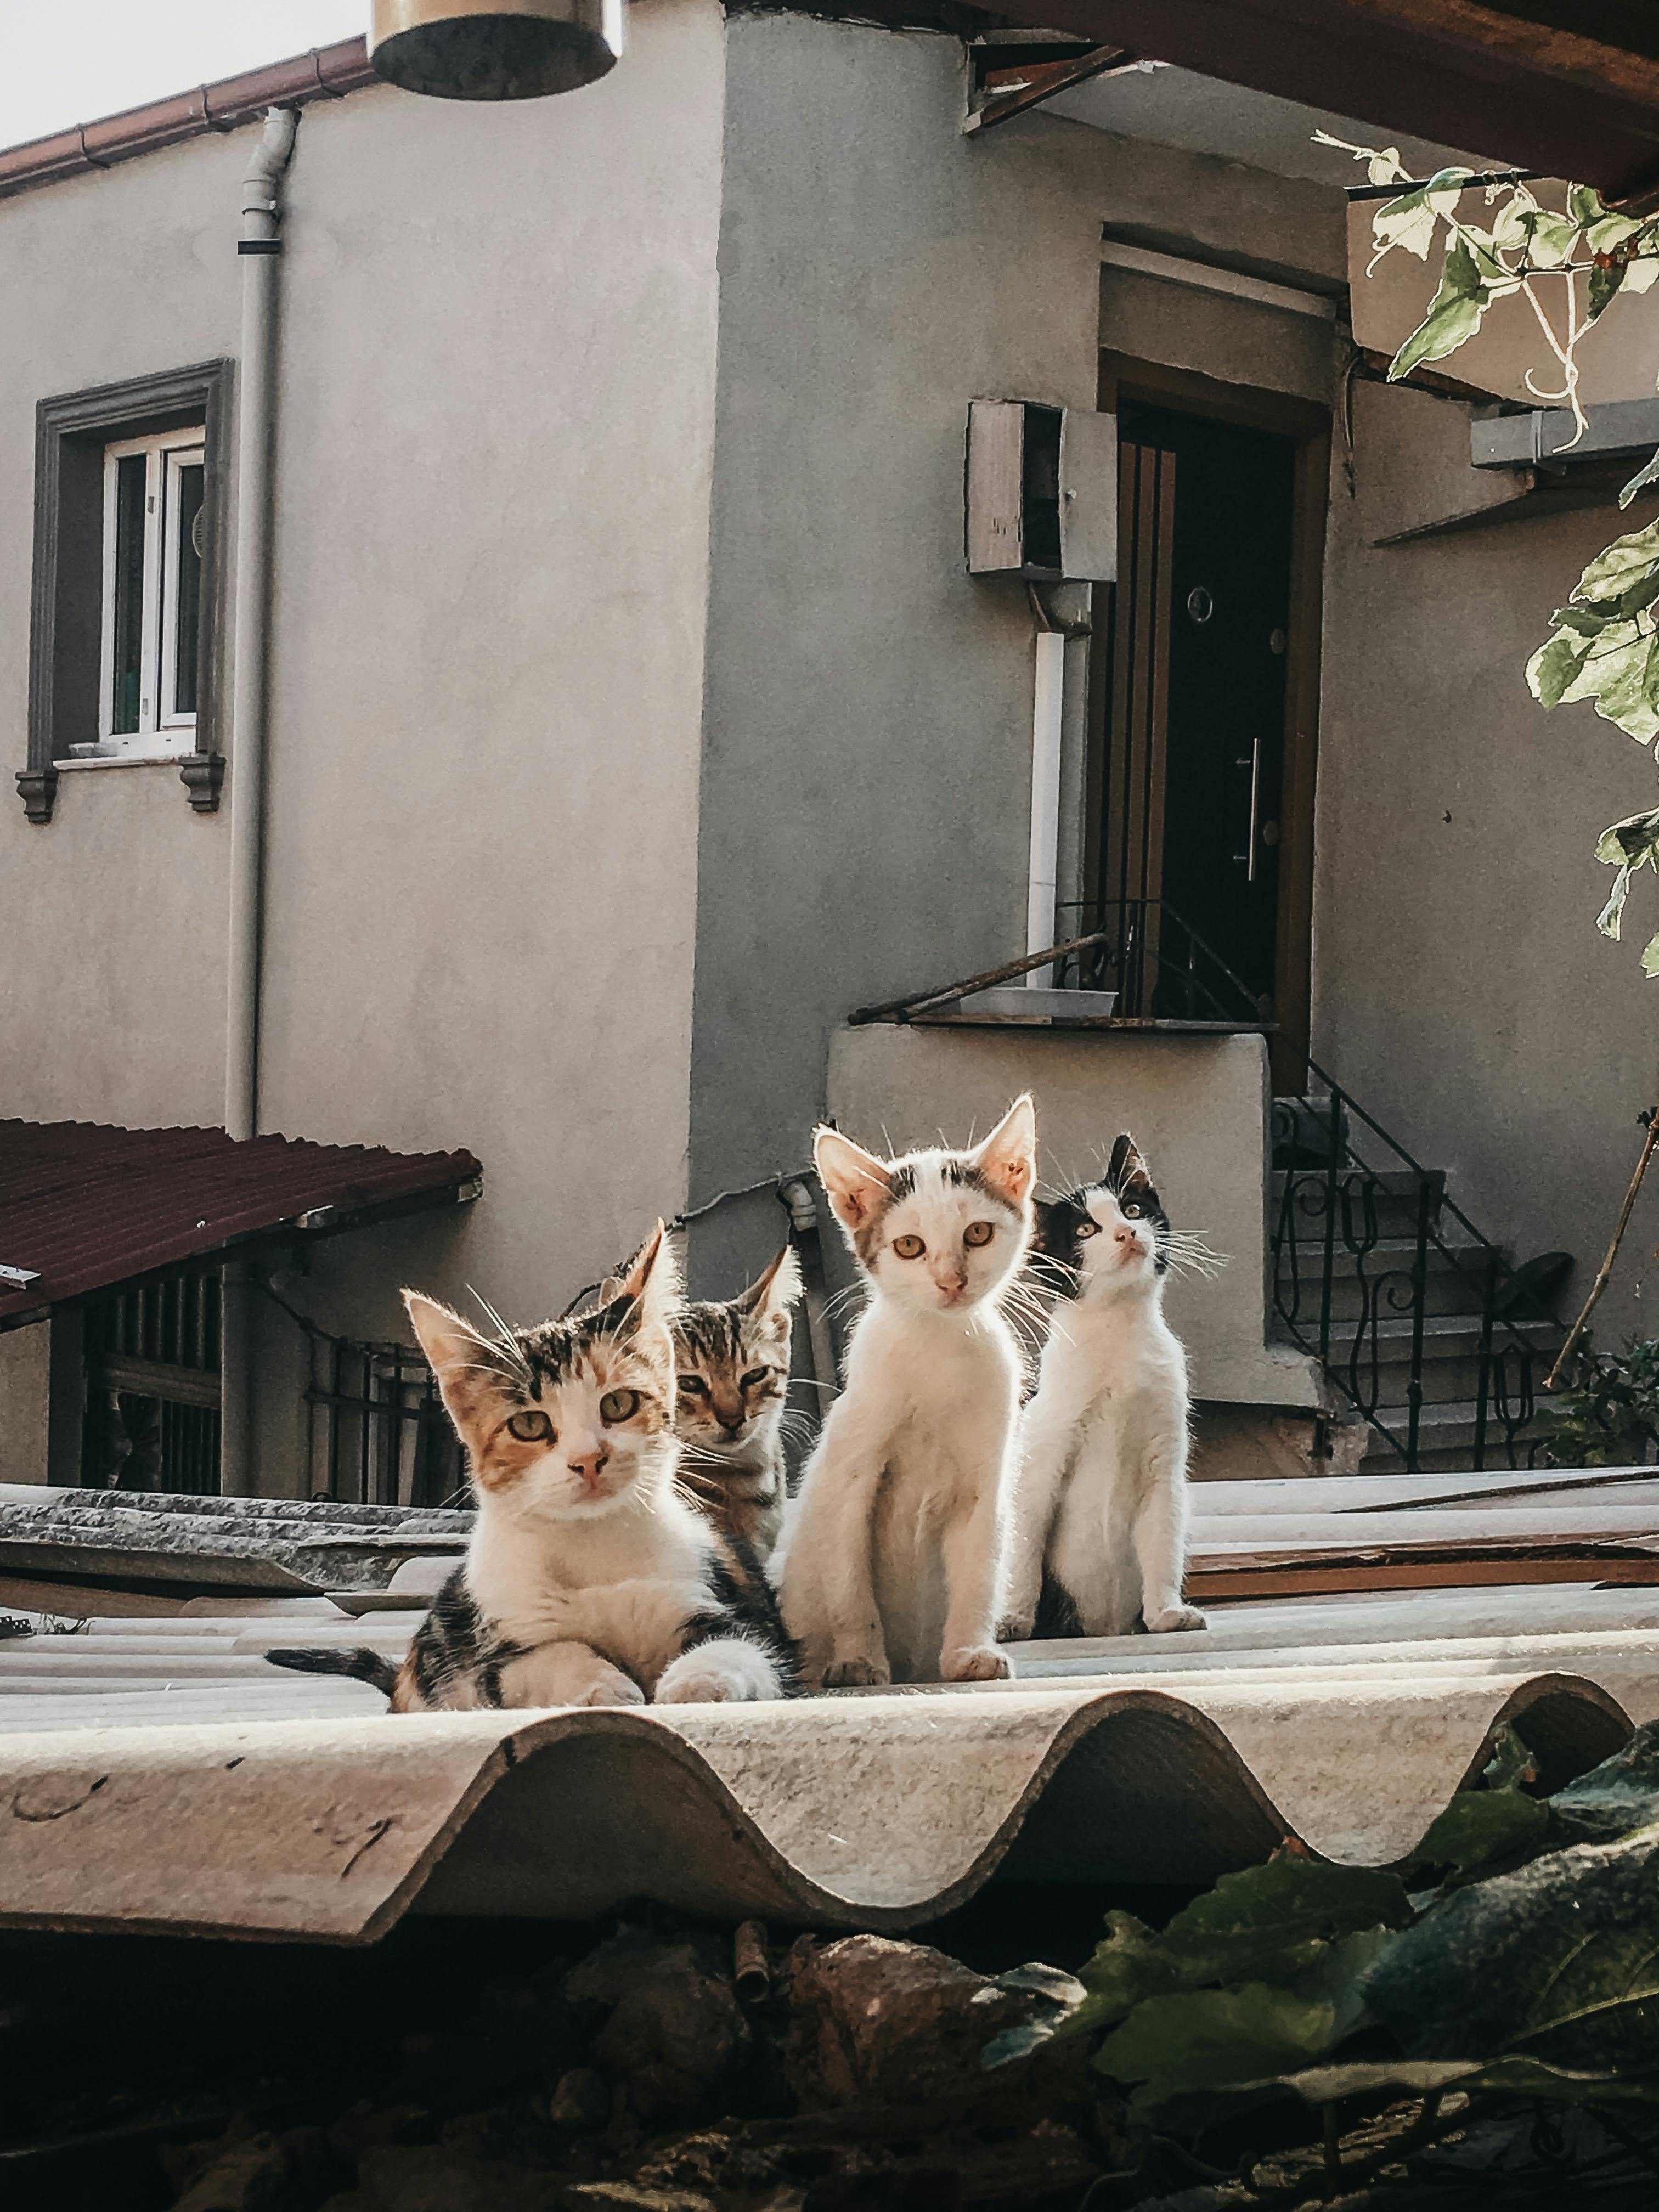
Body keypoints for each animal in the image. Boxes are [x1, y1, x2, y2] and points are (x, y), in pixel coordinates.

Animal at [778, 1101, 1040, 1690]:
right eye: (909, 1247)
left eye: (978, 1233)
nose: (951, 1281)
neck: (938, 1348)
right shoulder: (851, 1477)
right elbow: (849, 1584)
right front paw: (858, 1660)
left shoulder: (984, 1484)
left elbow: (978, 1572)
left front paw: (969, 1652)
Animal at [995, 1141, 1212, 1645]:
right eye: (1085, 1229)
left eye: (1132, 1209)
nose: (1126, 1233)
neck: (1119, 1334)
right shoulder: (1039, 1456)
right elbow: (1024, 1544)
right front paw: (1014, 1620)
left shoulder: (1164, 1463)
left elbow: (1163, 1537)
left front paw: (1166, 1613)